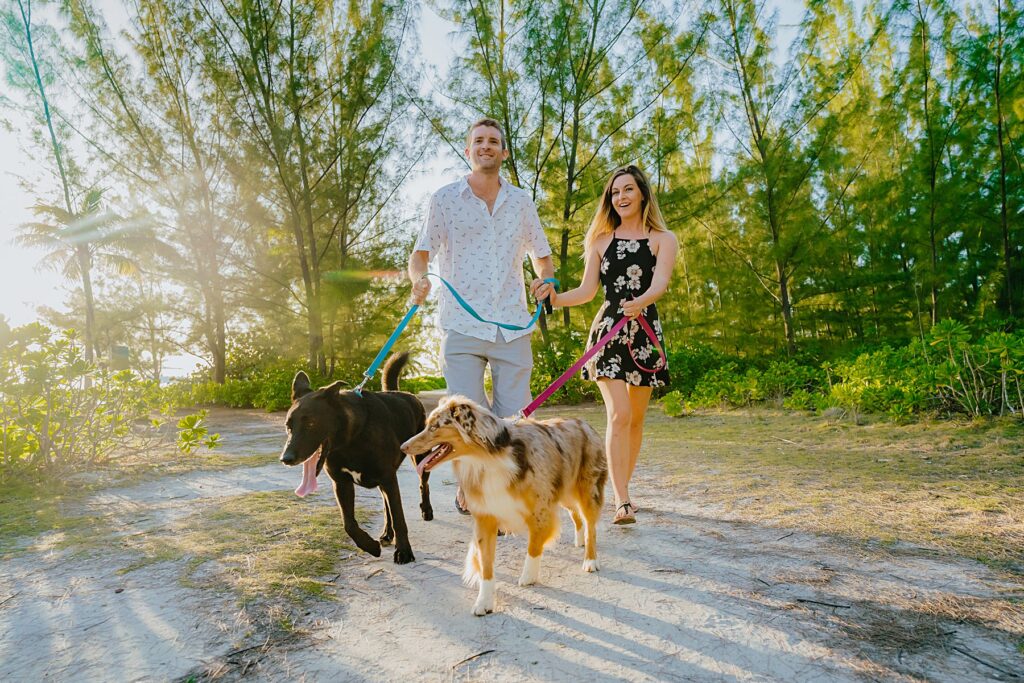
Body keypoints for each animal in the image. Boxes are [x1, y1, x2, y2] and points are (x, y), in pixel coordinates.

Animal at [282, 356, 434, 565]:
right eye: (288, 426)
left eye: (311, 423)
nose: (285, 458)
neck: (351, 439)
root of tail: (405, 393)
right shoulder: (342, 483)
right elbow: (349, 524)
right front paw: (371, 546)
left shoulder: (388, 478)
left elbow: (399, 517)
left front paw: (403, 551)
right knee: (386, 505)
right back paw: (387, 534)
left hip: (419, 457)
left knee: (423, 485)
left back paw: (426, 511)